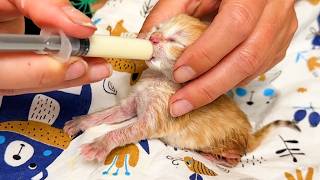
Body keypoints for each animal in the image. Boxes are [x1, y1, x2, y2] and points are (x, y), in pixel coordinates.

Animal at [63, 14, 300, 167]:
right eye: (157, 28)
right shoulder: (132, 103)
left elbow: (124, 131)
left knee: (235, 159)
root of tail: (250, 136)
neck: (159, 78)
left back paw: (216, 158)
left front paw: (100, 144)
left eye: (175, 40)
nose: (152, 38)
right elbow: (111, 113)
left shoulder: (158, 117)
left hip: (228, 144)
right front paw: (82, 121)